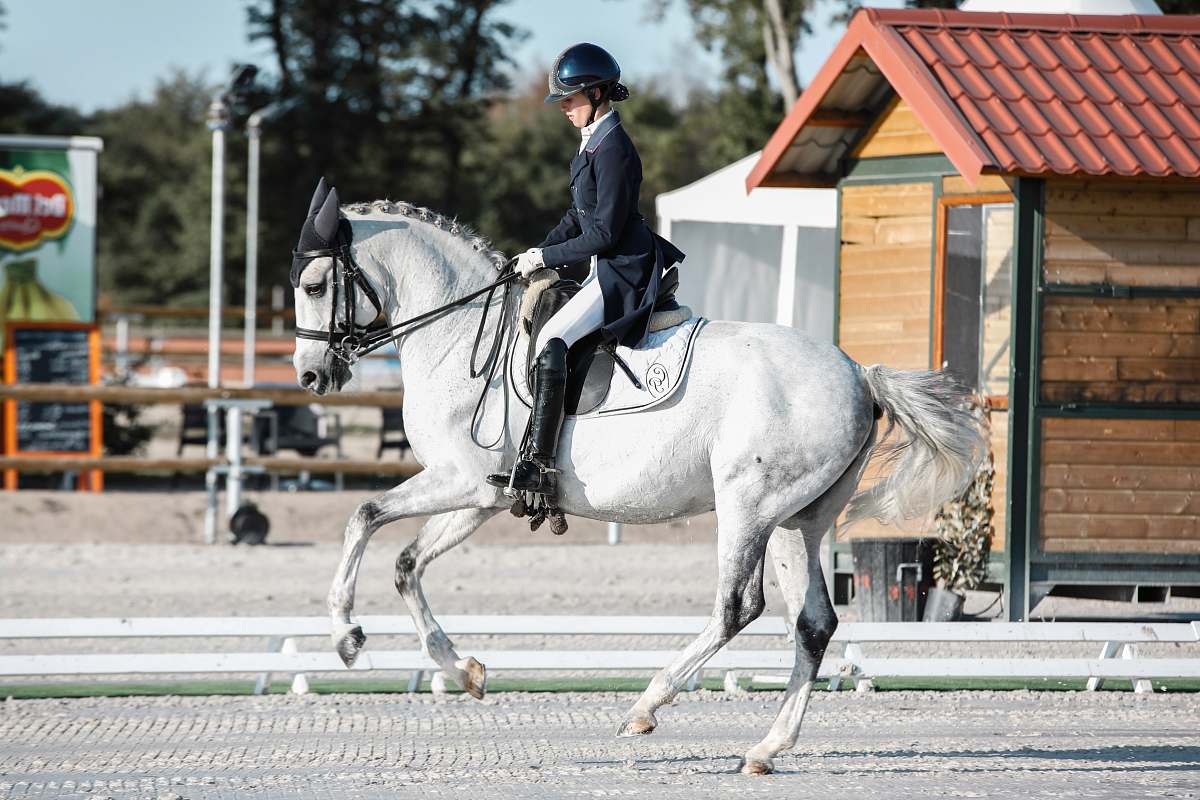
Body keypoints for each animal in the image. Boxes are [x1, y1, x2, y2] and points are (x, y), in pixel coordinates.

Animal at [290, 194, 984, 777]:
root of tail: (859, 374)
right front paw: (464, 670)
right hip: (799, 520)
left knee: (737, 607)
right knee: (812, 622)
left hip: (748, 507)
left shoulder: (462, 482)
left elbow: (363, 514)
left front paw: (346, 638)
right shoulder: (484, 496)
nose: (310, 376)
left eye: (316, 285)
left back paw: (647, 706)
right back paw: (765, 748)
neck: (458, 335)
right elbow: (406, 561)